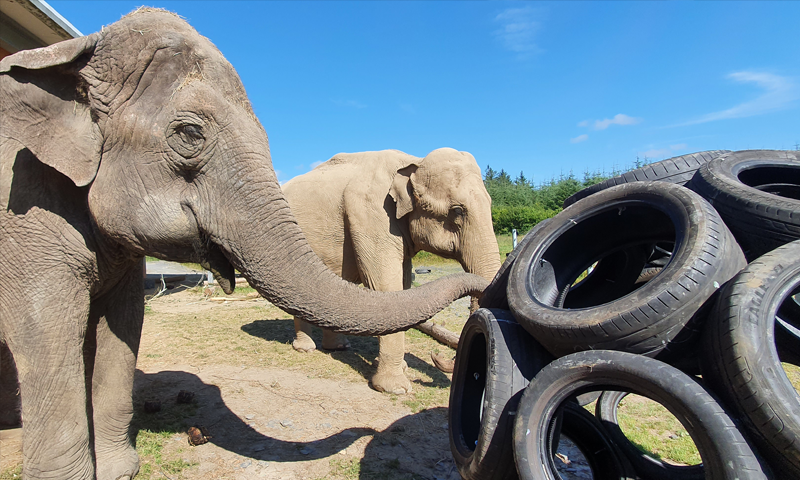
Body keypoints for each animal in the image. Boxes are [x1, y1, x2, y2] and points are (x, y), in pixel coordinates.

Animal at [282, 148, 501, 394]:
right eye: (457, 210)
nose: (436, 355)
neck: (412, 162)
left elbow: (403, 287)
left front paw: (399, 368)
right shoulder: (373, 213)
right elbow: (386, 285)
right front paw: (396, 388)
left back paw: (338, 347)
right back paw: (306, 348)